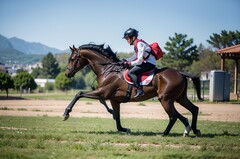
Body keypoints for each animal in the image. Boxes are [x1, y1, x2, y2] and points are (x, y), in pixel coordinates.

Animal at [64, 43, 202, 137]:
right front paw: (124, 128)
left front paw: (66, 113)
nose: (67, 74)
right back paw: (192, 130)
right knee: (193, 110)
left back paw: (165, 133)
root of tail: (180, 73)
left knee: (173, 116)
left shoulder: (103, 93)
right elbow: (117, 120)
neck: (108, 69)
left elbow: (79, 94)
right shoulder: (113, 99)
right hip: (180, 98)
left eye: (72, 59)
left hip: (165, 99)